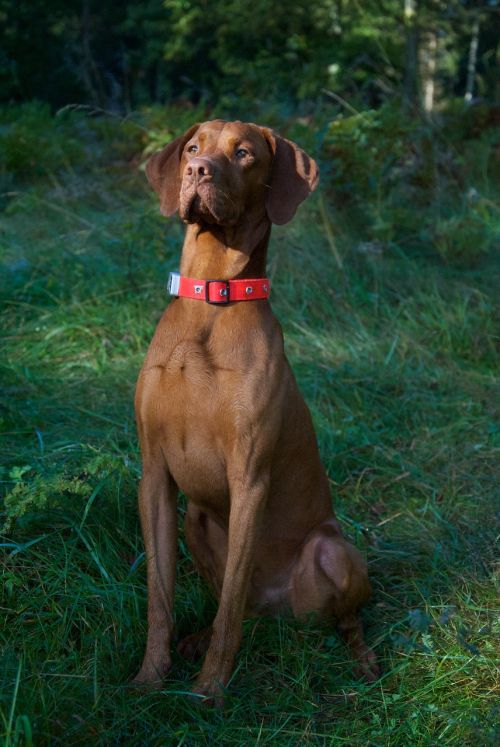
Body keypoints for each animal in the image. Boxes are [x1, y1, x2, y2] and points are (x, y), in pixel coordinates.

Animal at [134, 120, 378, 704]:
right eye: (193, 148)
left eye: (243, 153)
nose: (197, 171)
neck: (210, 299)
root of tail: (280, 614)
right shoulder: (153, 475)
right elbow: (160, 599)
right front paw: (150, 678)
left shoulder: (249, 479)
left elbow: (229, 608)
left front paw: (209, 691)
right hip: (197, 519)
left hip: (333, 552)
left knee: (342, 618)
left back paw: (364, 662)